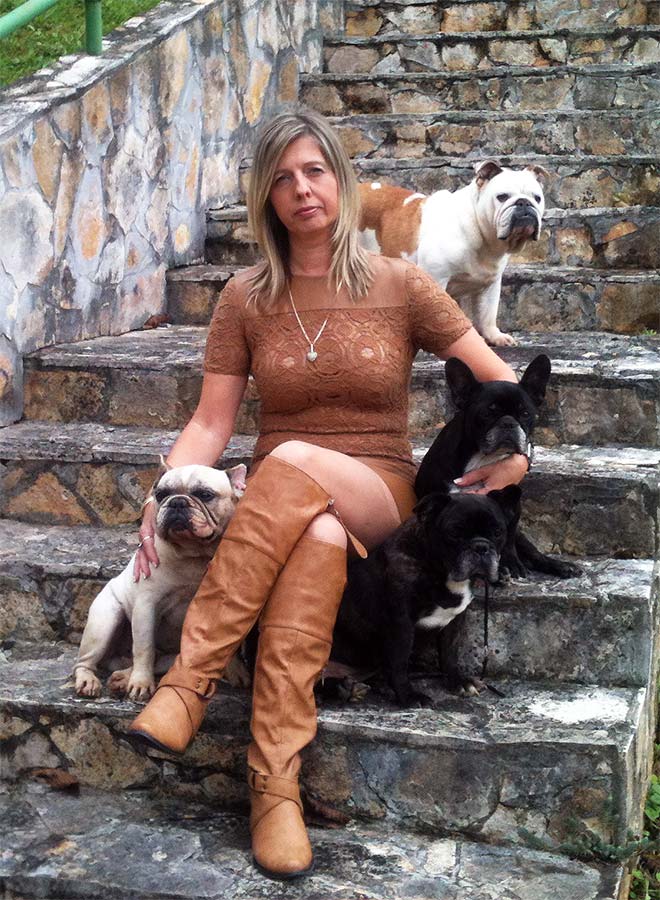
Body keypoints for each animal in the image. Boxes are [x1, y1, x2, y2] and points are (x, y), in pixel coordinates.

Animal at [74, 462, 247, 700]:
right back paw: (90, 680)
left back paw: (122, 678)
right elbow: (144, 648)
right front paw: (141, 684)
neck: (193, 555)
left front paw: (236, 669)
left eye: (205, 494)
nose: (177, 502)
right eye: (161, 494)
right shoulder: (147, 606)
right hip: (103, 623)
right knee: (87, 661)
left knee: (158, 661)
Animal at [332, 486, 521, 706]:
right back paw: (343, 689)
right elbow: (399, 662)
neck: (439, 569)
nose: (480, 546)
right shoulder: (401, 623)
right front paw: (408, 696)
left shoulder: (455, 619)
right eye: (454, 532)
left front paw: (458, 681)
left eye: (498, 532)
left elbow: (449, 653)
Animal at [358, 159, 548, 347]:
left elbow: (488, 314)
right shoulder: (437, 277)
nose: (524, 203)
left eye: (537, 198)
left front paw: (495, 336)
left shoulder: (491, 285)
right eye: (502, 197)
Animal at [415, 354, 580, 579]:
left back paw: (559, 566)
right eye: (487, 413)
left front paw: (510, 563)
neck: (481, 456)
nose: (508, 423)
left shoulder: (511, 507)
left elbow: (507, 538)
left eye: (526, 413)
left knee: (532, 553)